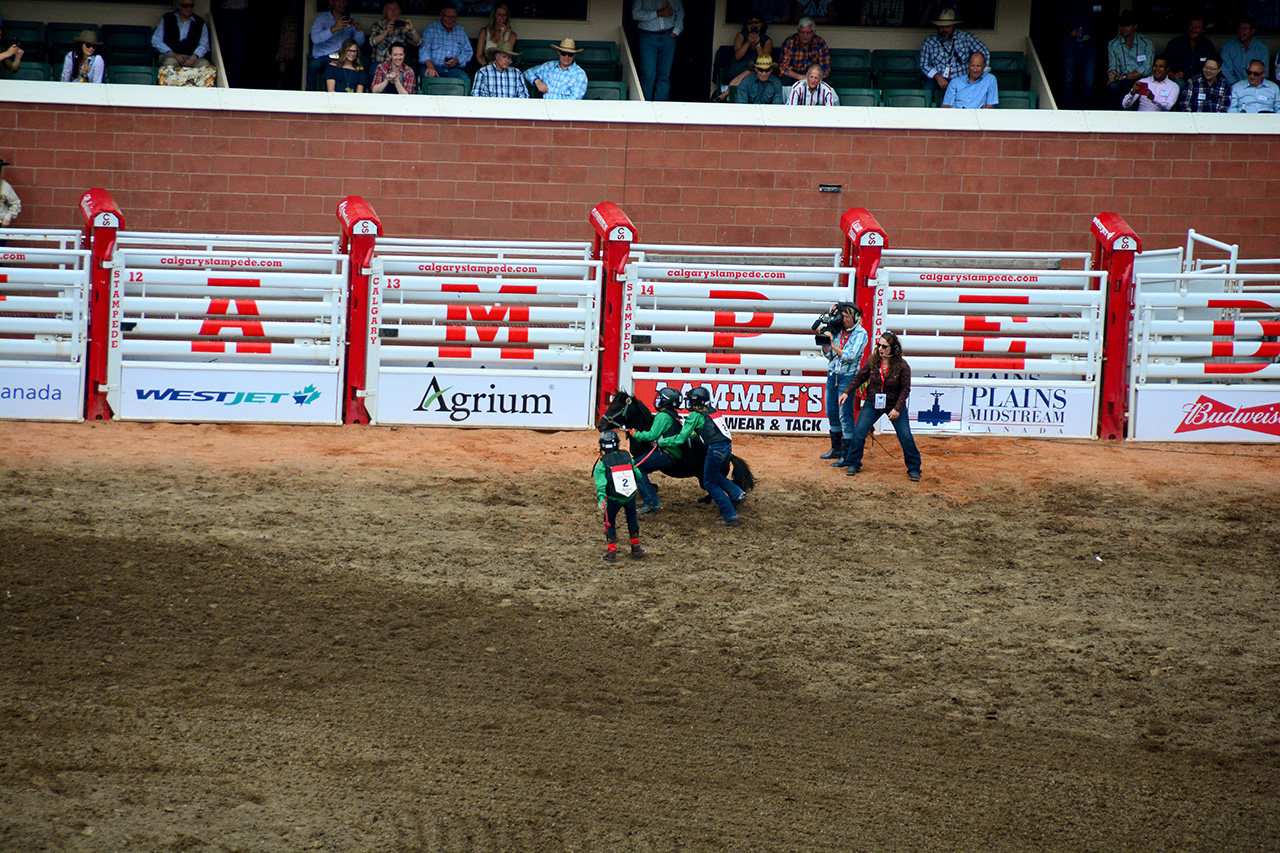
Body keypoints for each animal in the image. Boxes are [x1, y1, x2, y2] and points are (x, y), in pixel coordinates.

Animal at [596, 389, 752, 494]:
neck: (645, 426)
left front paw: (652, 487)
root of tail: (729, 455)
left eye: (615, 407)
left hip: (706, 478)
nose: (599, 425)